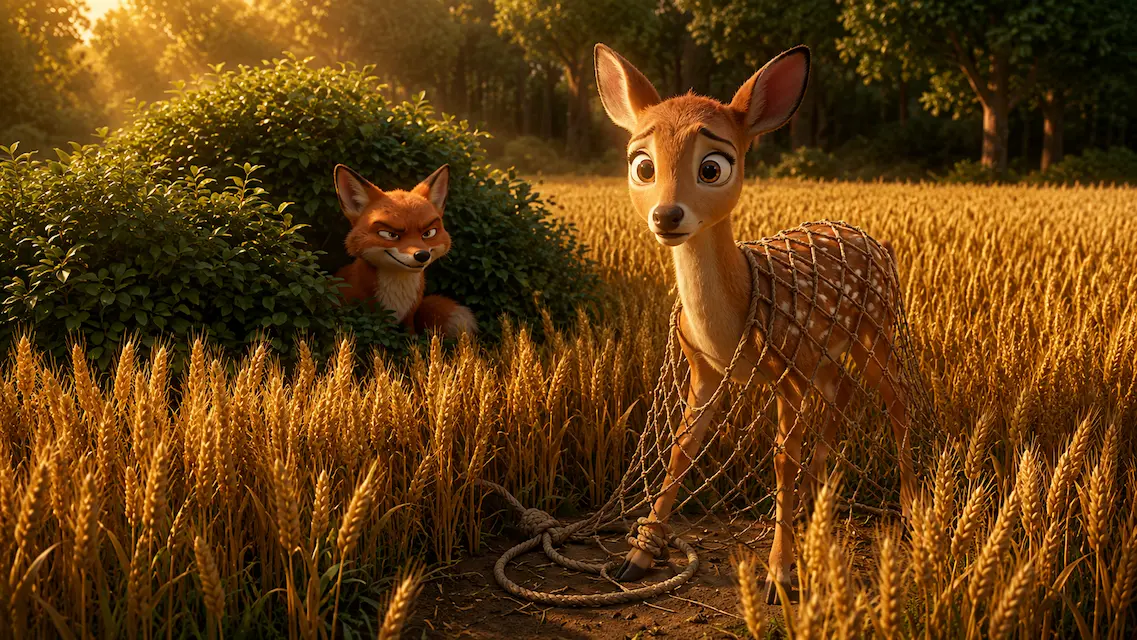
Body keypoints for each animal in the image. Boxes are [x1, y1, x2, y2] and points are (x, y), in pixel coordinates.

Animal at [332, 164, 477, 337]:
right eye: (389, 234)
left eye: (428, 233)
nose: (422, 255)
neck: (398, 299)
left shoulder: (409, 316)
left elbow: (411, 335)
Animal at [594, 43, 916, 603]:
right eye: (642, 166)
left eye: (713, 167)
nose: (667, 216)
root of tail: (875, 241)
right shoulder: (706, 370)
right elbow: (682, 448)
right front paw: (638, 556)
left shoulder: (785, 369)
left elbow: (781, 457)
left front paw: (779, 574)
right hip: (823, 352)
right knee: (841, 392)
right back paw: (817, 505)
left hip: (873, 328)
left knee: (894, 401)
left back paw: (914, 514)